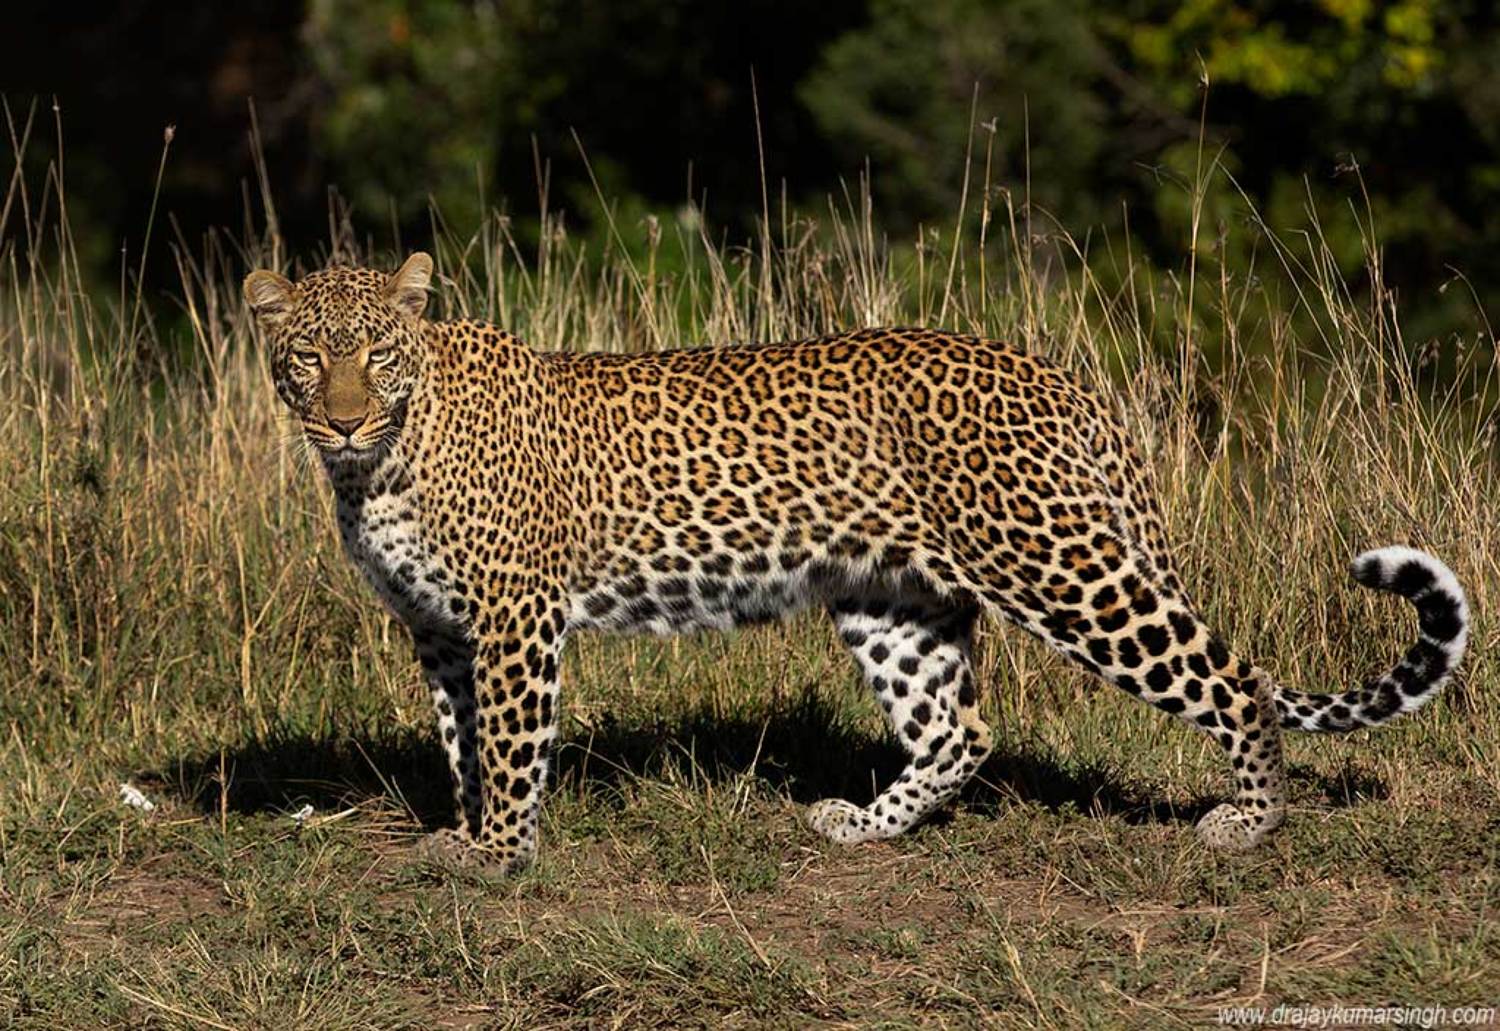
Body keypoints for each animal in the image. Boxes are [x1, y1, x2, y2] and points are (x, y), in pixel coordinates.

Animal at [243, 252, 1470, 872]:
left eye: (378, 355)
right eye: (306, 357)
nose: (342, 421)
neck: (380, 465)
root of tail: (1056, 373)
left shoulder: (512, 616)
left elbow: (506, 744)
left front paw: (497, 854)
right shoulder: (438, 626)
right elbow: (461, 741)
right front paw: (462, 834)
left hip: (1063, 568)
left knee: (1234, 677)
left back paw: (1248, 822)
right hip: (894, 599)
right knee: (961, 730)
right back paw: (863, 826)